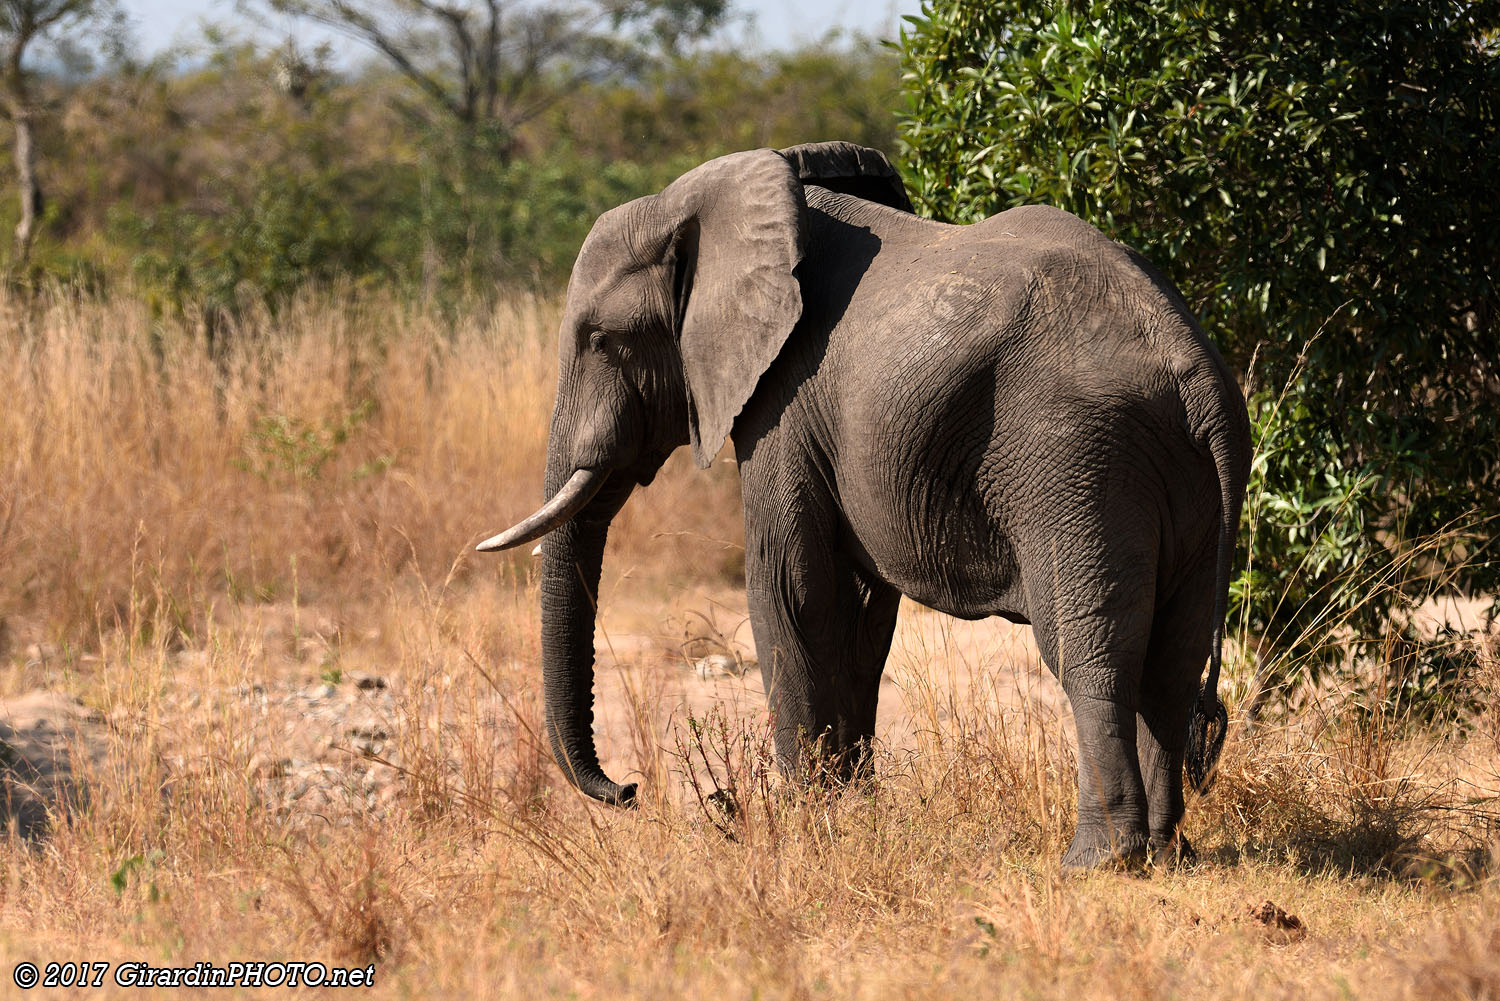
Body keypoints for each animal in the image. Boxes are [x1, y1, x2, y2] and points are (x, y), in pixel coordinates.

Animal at [480, 141, 1254, 870]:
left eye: (600, 340)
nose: (630, 789)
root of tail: (1196, 375)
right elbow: (859, 612)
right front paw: (851, 809)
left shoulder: (784, 400)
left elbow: (792, 589)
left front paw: (808, 821)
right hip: (1176, 477)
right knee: (1172, 658)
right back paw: (1167, 852)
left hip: (1077, 461)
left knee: (1090, 651)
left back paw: (1096, 859)